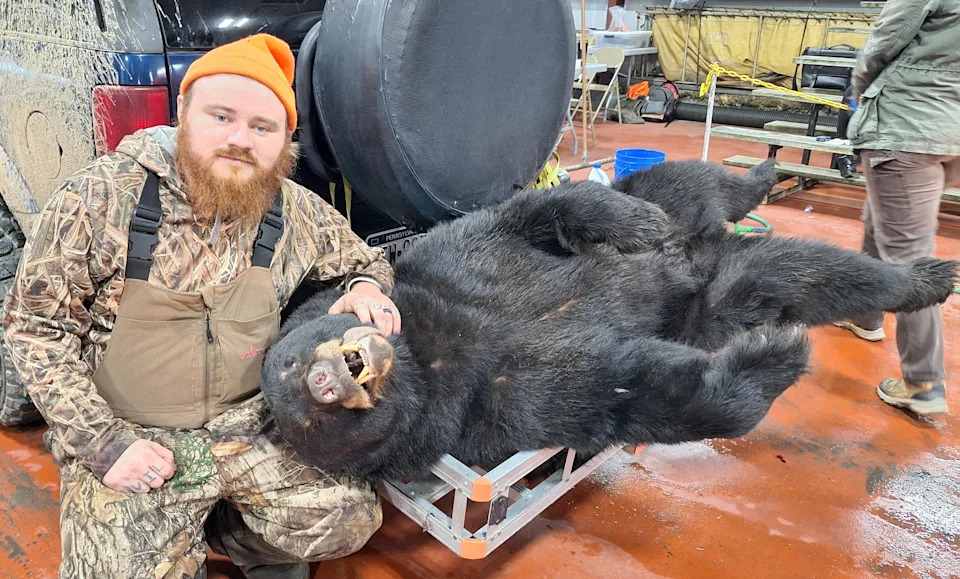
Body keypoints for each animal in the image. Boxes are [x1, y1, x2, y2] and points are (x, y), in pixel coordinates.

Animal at [261, 159, 958, 481]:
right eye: (304, 419)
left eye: (291, 354)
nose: (323, 380)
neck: (432, 345)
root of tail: (708, 249)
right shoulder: (486, 403)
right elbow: (624, 390)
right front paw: (771, 356)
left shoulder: (451, 260)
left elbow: (541, 210)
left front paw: (639, 230)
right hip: (715, 298)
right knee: (794, 274)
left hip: (675, 197)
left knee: (692, 185)